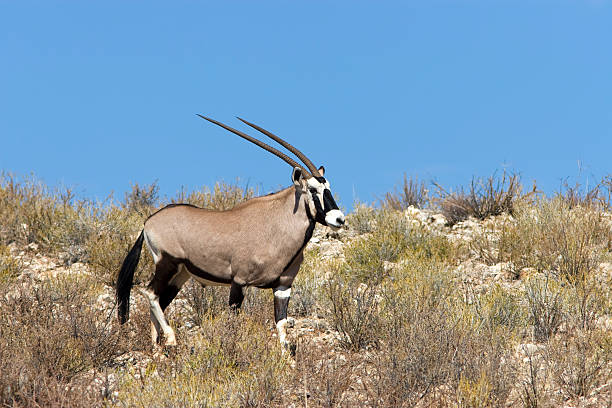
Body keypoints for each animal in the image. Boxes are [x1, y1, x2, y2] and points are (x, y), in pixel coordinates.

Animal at [115, 115, 344, 354]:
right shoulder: (239, 282)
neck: (277, 225)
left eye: (328, 187)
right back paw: (170, 339)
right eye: (312, 190)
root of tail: (148, 222)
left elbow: (281, 325)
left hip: (180, 274)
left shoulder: (282, 287)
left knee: (159, 300)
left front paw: (286, 359)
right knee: (150, 294)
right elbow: (234, 322)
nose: (339, 219)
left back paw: (156, 348)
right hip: (167, 263)